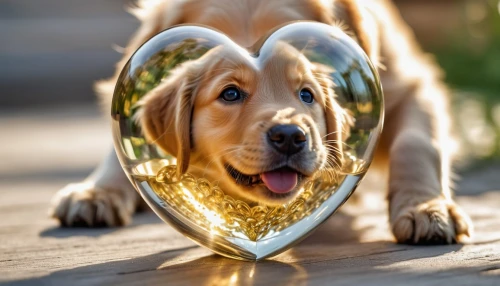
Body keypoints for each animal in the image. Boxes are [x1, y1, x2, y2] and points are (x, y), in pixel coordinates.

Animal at [50, 0, 472, 245]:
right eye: (228, 92)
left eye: (305, 90)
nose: (288, 136)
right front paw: (97, 191)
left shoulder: (407, 84)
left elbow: (417, 142)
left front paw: (427, 208)